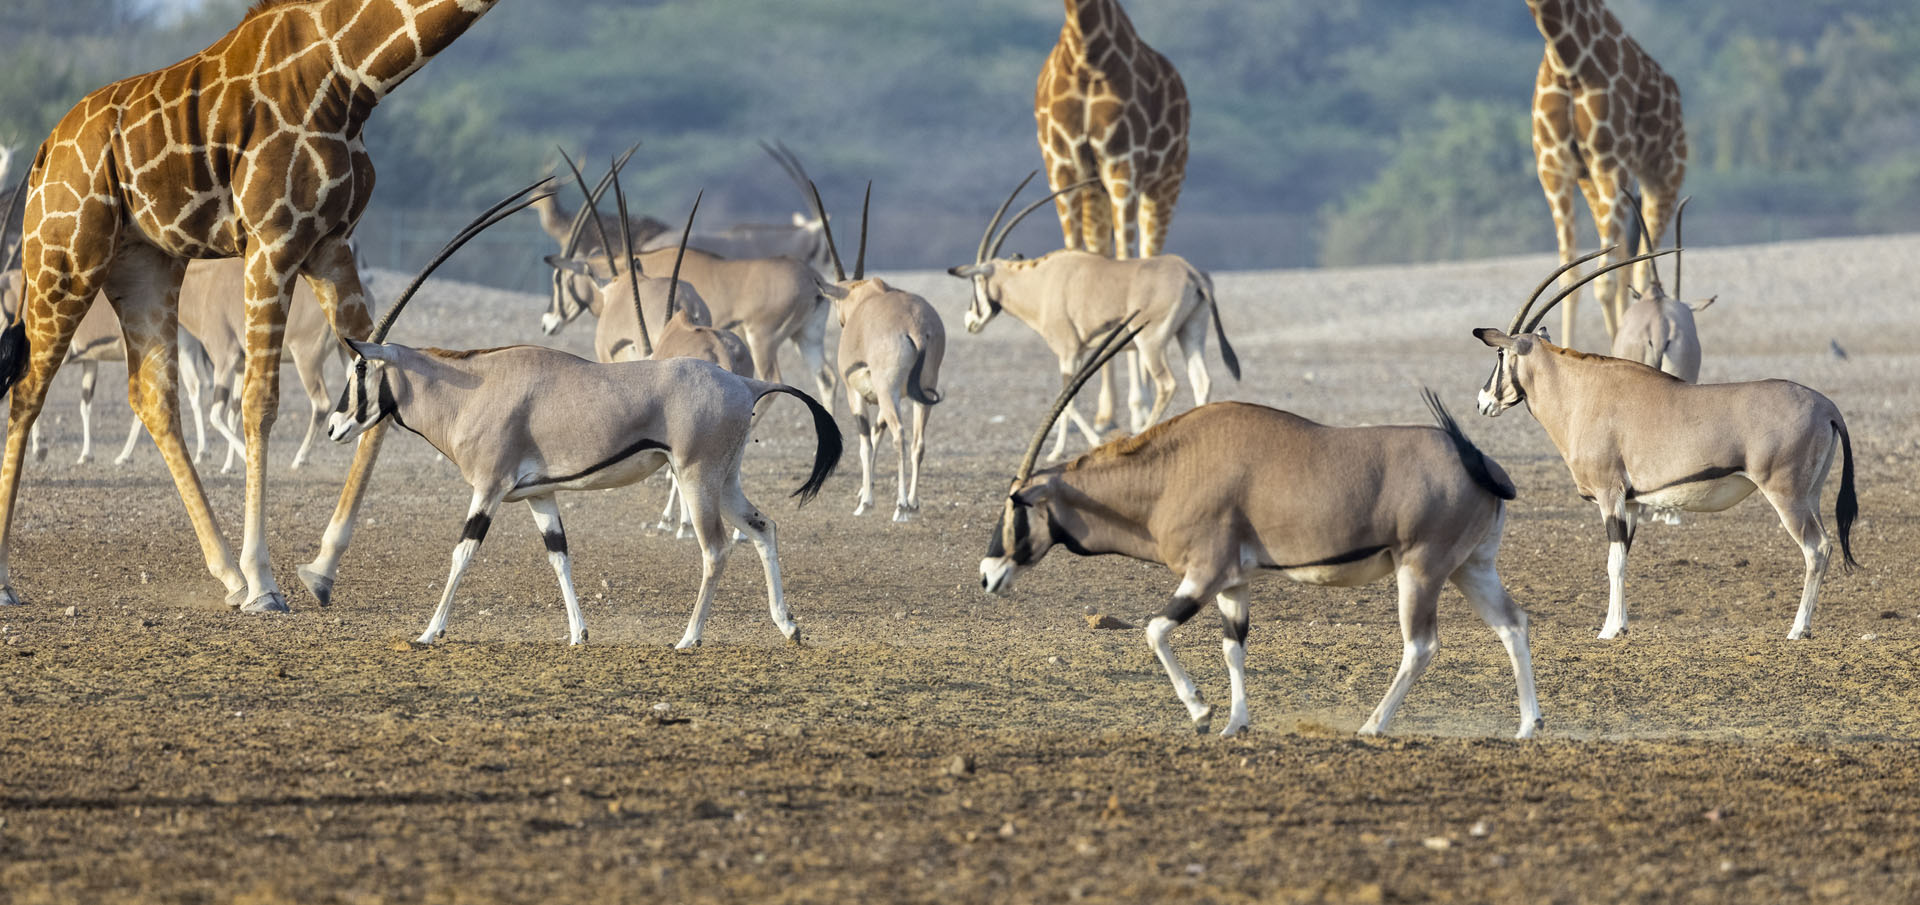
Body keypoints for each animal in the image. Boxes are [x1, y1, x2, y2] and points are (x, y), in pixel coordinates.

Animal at [0, 1, 503, 614]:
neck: (352, 75)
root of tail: (44, 153)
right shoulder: (273, 238)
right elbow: (260, 402)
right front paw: (264, 581)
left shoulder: (329, 243)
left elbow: (378, 382)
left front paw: (320, 569)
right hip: (65, 258)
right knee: (28, 390)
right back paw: (6, 580)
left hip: (145, 262)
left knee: (152, 397)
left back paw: (226, 574)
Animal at [1036, 0, 1182, 436]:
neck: (1087, 52)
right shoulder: (1062, 167)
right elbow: (1076, 259)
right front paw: (1077, 406)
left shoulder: (1123, 164)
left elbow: (1127, 264)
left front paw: (1140, 405)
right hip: (1095, 191)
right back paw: (1105, 410)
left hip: (1165, 182)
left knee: (1144, 254)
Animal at [1528, 0, 1681, 347]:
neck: (1567, 59)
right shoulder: (1554, 167)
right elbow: (1570, 277)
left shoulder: (1610, 161)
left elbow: (1603, 283)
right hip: (1594, 183)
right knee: (1625, 259)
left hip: (1665, 174)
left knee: (1642, 268)